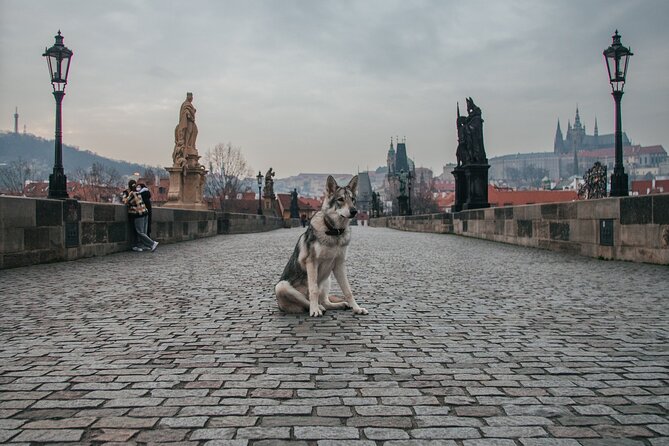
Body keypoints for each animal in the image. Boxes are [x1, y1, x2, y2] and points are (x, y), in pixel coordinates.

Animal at [276, 175, 370, 318]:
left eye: (353, 199)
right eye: (341, 199)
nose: (354, 211)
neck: (334, 232)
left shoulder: (339, 264)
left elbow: (348, 290)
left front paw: (357, 308)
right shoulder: (311, 262)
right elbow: (313, 290)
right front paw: (314, 310)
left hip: (327, 279)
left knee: (325, 301)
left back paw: (339, 305)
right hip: (281, 286)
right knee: (308, 301)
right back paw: (317, 307)